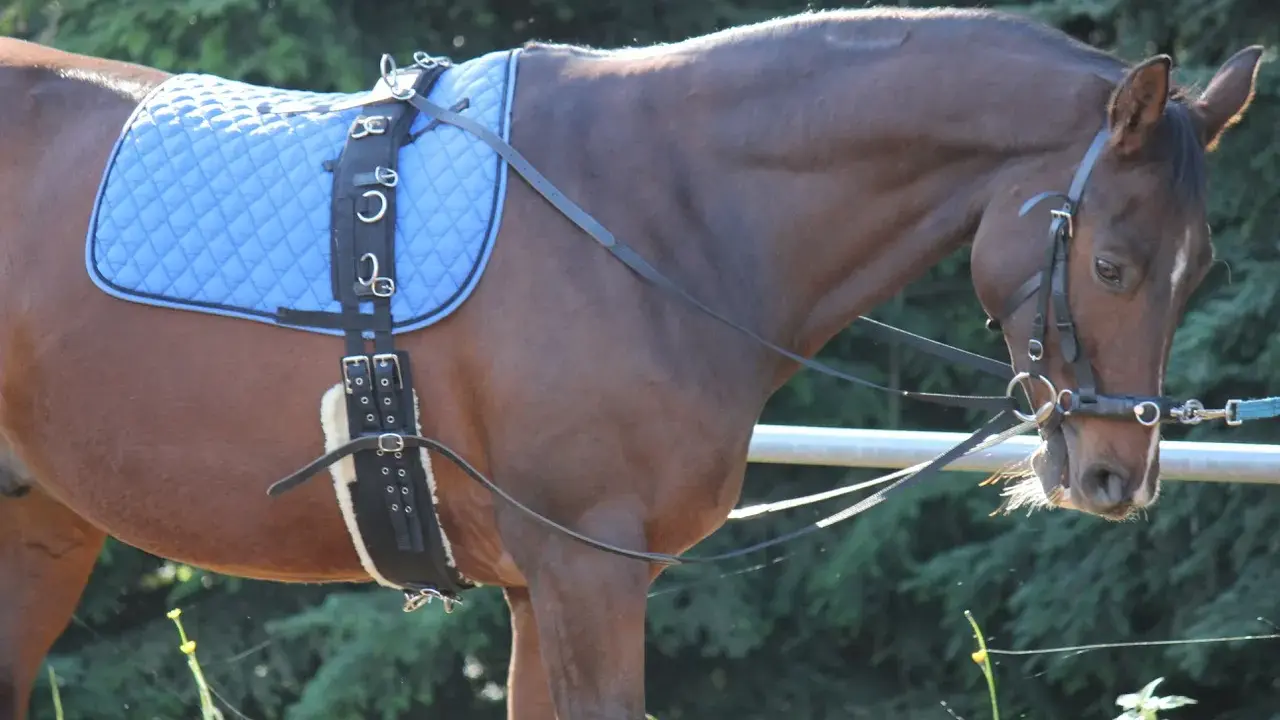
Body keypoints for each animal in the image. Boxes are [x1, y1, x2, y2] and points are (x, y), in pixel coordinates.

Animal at [0, 7, 1264, 719]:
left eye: (1194, 266)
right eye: (1109, 262)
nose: (1114, 475)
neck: (654, 211)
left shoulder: (540, 591)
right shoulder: (585, 573)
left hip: (40, 530)